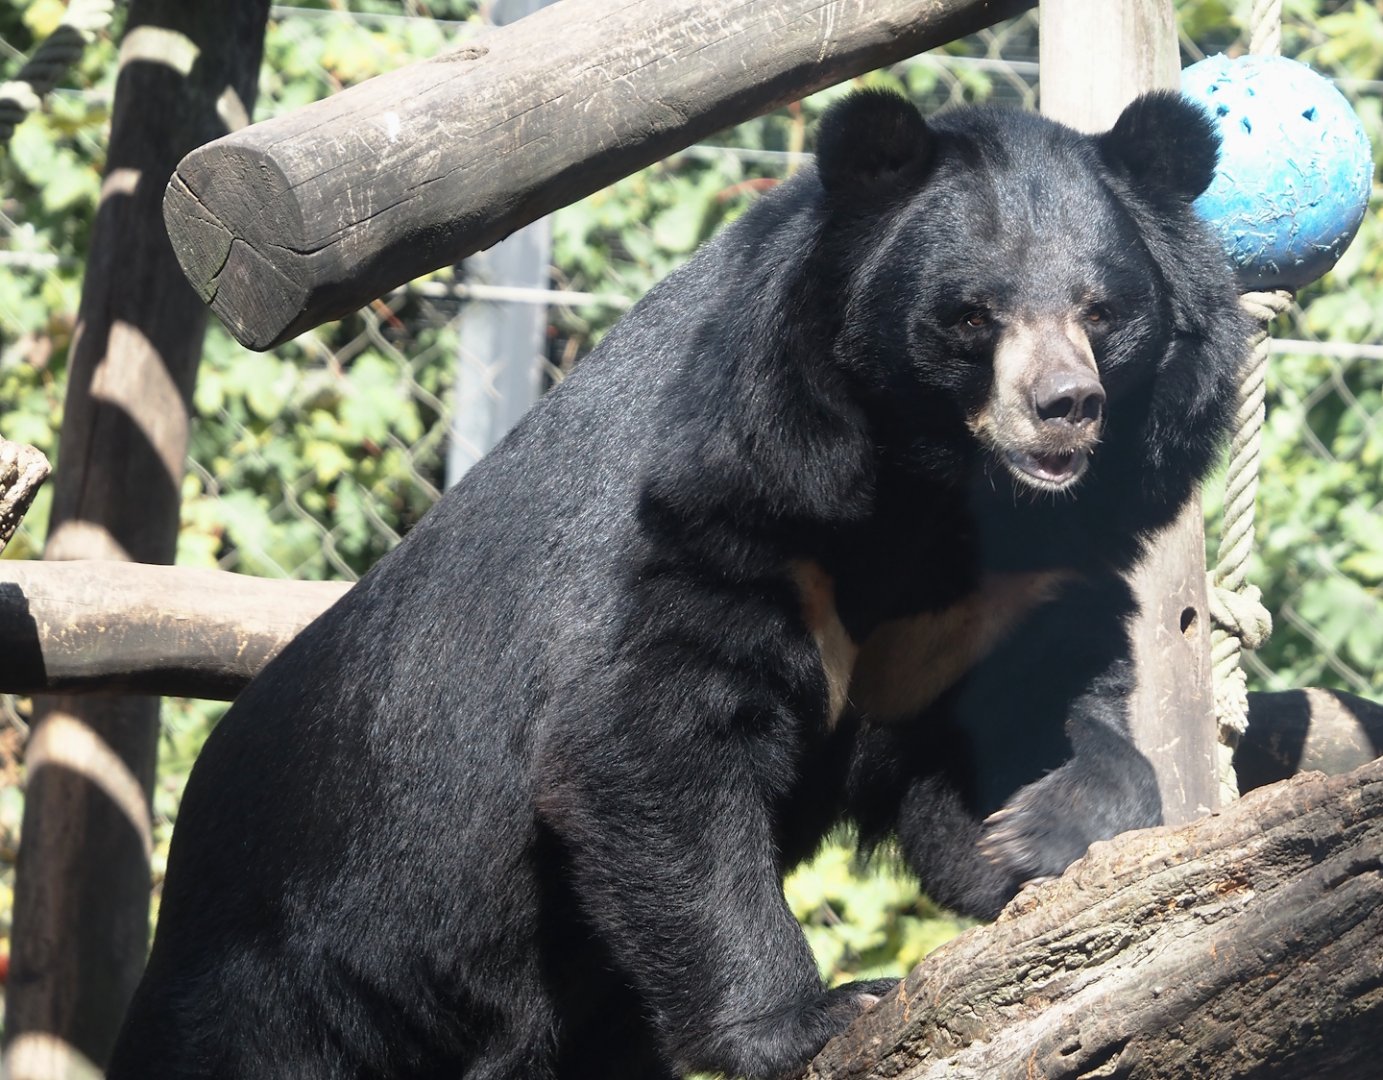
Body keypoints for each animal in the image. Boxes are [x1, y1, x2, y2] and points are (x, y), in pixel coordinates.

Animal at [108, 88, 1250, 1080]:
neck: (929, 491)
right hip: (296, 963)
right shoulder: (717, 512)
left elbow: (1000, 737)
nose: (1063, 408)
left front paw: (1046, 823)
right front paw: (817, 1012)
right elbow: (646, 743)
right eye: (971, 316)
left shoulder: (981, 603)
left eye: (1102, 311)